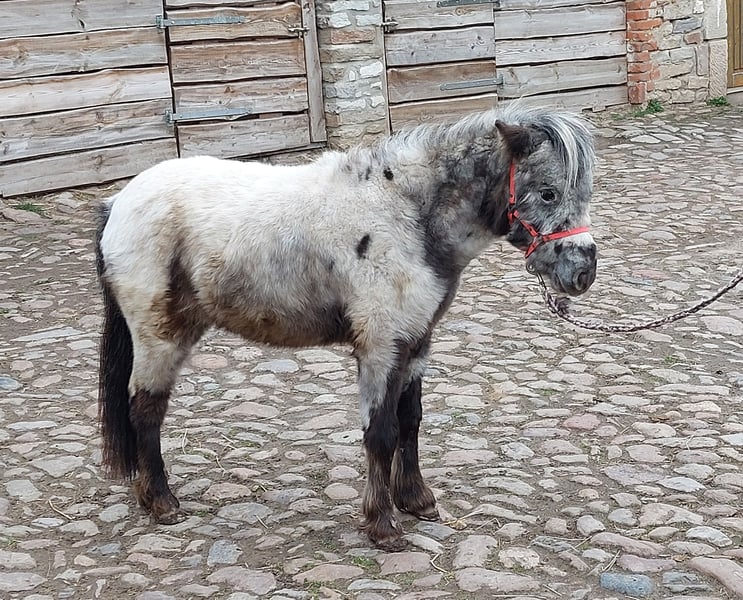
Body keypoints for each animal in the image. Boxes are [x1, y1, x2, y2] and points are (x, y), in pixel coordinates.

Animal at [95, 104, 597, 551]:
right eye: (548, 192)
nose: (583, 272)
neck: (404, 215)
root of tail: (118, 203)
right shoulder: (381, 346)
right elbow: (381, 433)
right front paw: (383, 526)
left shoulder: (416, 342)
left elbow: (410, 421)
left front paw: (416, 500)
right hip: (159, 337)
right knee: (146, 410)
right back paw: (162, 503)